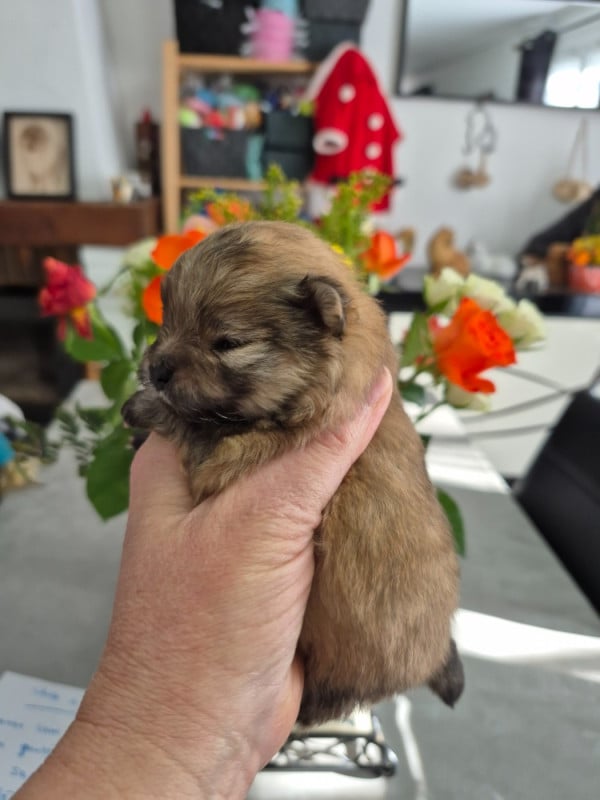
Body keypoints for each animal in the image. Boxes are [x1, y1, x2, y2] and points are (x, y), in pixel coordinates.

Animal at [123, 221, 464, 725]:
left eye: (228, 343)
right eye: (166, 319)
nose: (158, 369)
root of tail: (436, 652)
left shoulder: (230, 458)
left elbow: (196, 425)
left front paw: (143, 408)